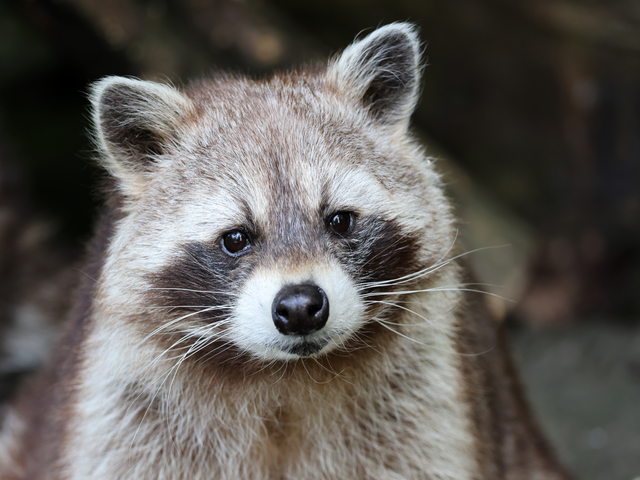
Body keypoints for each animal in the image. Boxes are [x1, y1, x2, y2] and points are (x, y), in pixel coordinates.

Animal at [0, 23, 572, 480]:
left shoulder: (428, 404)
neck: (281, 376)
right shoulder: (121, 411)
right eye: (235, 239)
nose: (300, 308)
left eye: (340, 221)